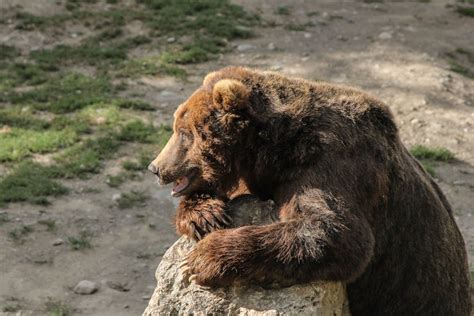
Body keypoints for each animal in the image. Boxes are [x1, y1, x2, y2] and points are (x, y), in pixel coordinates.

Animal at [147, 67, 470, 316]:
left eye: (183, 132)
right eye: (177, 126)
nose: (156, 167)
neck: (274, 149)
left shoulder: (332, 163)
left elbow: (336, 231)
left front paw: (203, 257)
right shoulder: (259, 175)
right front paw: (204, 216)